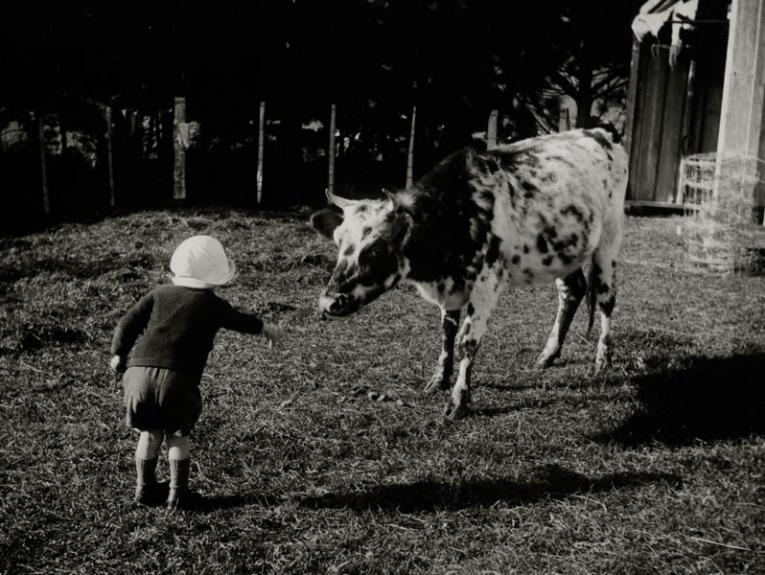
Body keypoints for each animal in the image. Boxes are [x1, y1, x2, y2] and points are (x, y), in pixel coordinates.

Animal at [308, 128, 628, 420]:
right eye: (337, 241)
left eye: (375, 249)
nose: (327, 302)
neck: (456, 214)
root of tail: (600, 133)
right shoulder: (450, 287)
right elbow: (447, 332)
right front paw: (439, 379)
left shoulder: (486, 286)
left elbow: (467, 341)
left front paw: (458, 400)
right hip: (565, 251)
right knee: (572, 291)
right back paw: (548, 354)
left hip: (609, 240)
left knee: (605, 299)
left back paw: (602, 360)